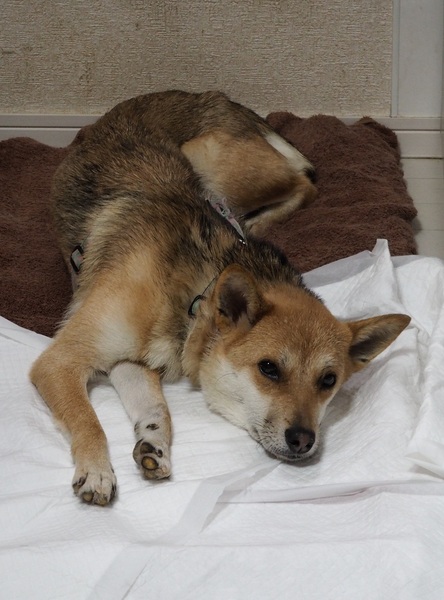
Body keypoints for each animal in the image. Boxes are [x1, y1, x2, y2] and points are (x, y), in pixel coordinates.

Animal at [30, 90, 410, 506]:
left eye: (328, 380)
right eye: (268, 369)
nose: (303, 440)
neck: (195, 298)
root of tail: (214, 97)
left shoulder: (126, 361)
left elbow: (158, 409)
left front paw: (153, 443)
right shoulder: (65, 361)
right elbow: (93, 419)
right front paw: (100, 468)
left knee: (303, 184)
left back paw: (258, 222)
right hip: (207, 162)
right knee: (302, 182)